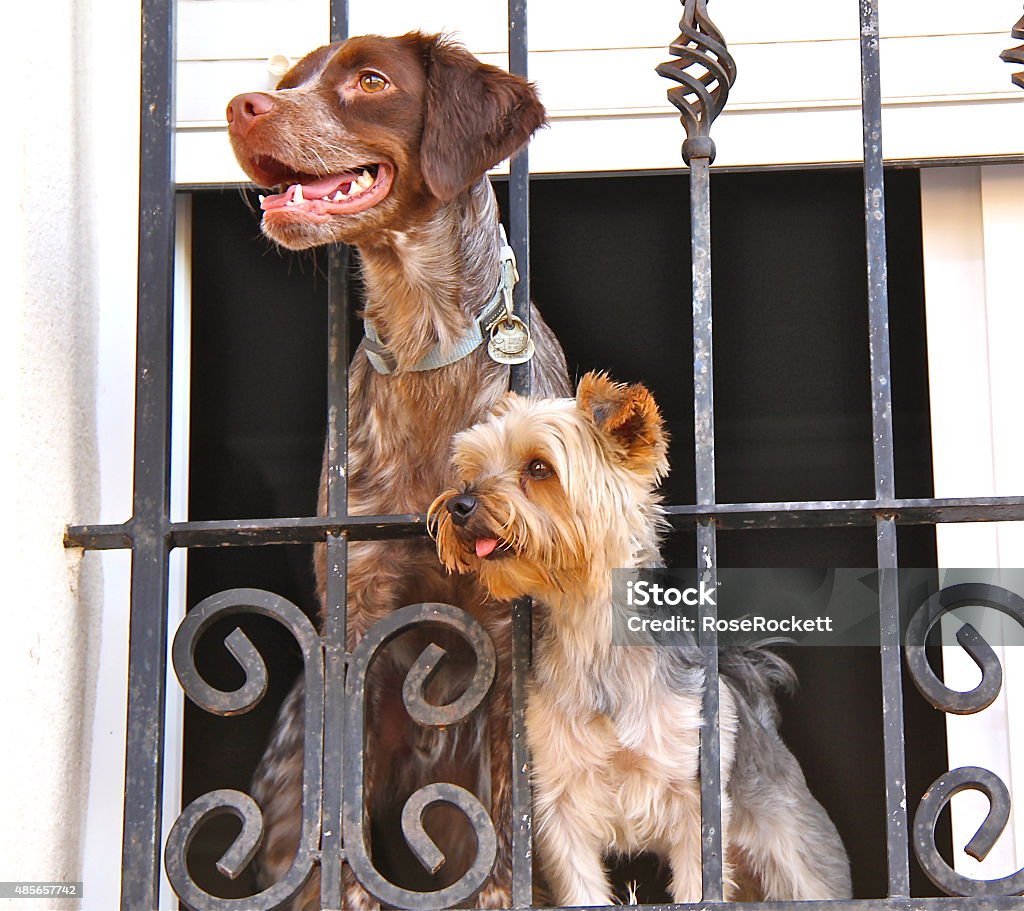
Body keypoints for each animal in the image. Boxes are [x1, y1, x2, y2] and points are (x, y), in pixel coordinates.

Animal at [227, 30, 573, 908]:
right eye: (293, 81)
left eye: (372, 81)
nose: (241, 107)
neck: (426, 344)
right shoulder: (359, 611)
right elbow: (344, 822)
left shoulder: (511, 629)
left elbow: (506, 821)